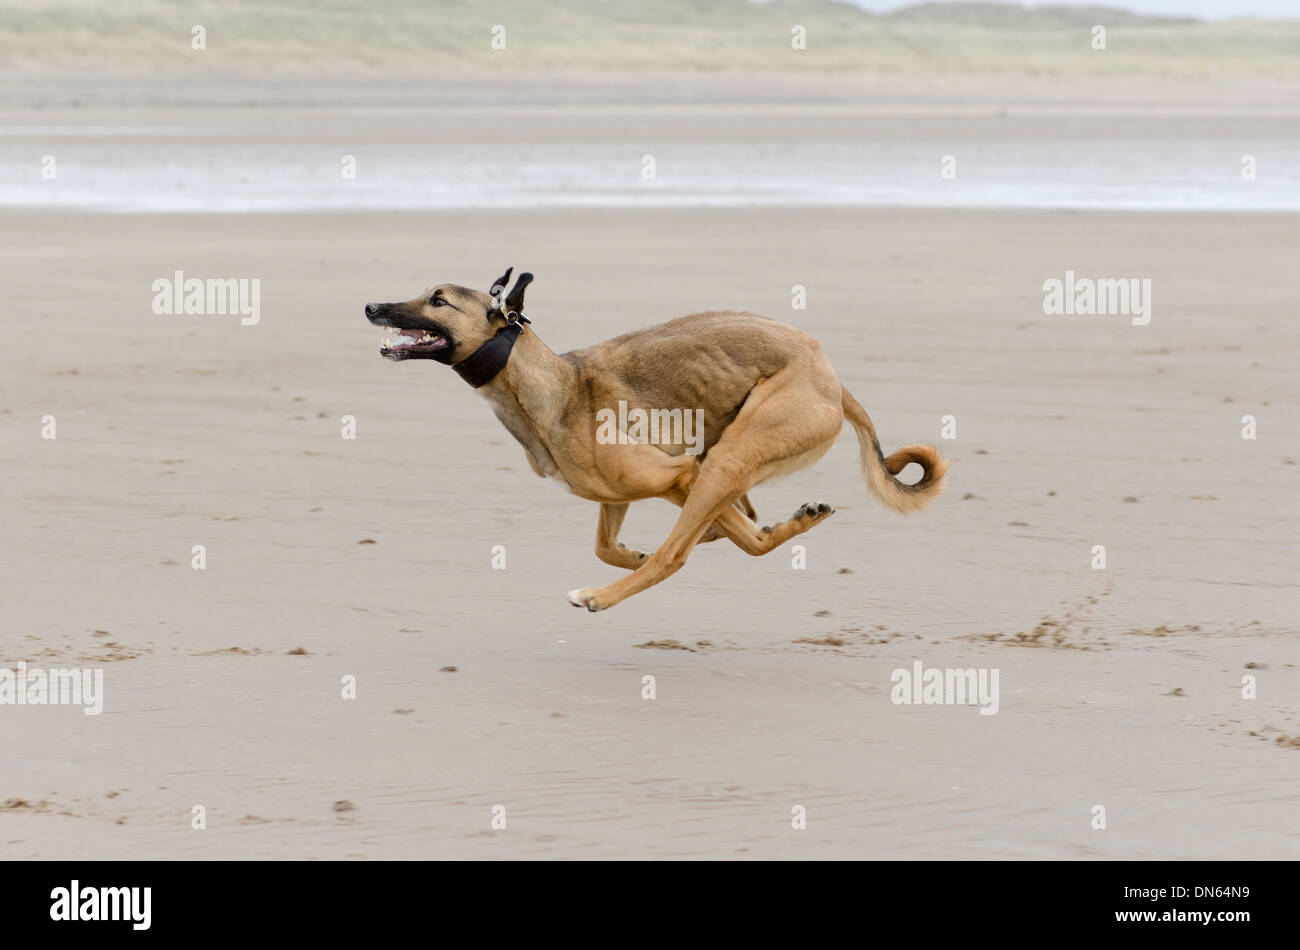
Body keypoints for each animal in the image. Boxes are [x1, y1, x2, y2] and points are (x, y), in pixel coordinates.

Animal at [361, 267, 951, 613]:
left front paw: (639, 564)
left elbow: (671, 549)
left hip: (728, 456)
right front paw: (641, 549)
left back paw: (600, 598)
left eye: (438, 301)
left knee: (691, 552)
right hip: (723, 454)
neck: (555, 385)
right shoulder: (621, 493)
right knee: (746, 529)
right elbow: (607, 546)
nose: (372, 307)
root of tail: (830, 376)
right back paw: (785, 523)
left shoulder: (679, 474)